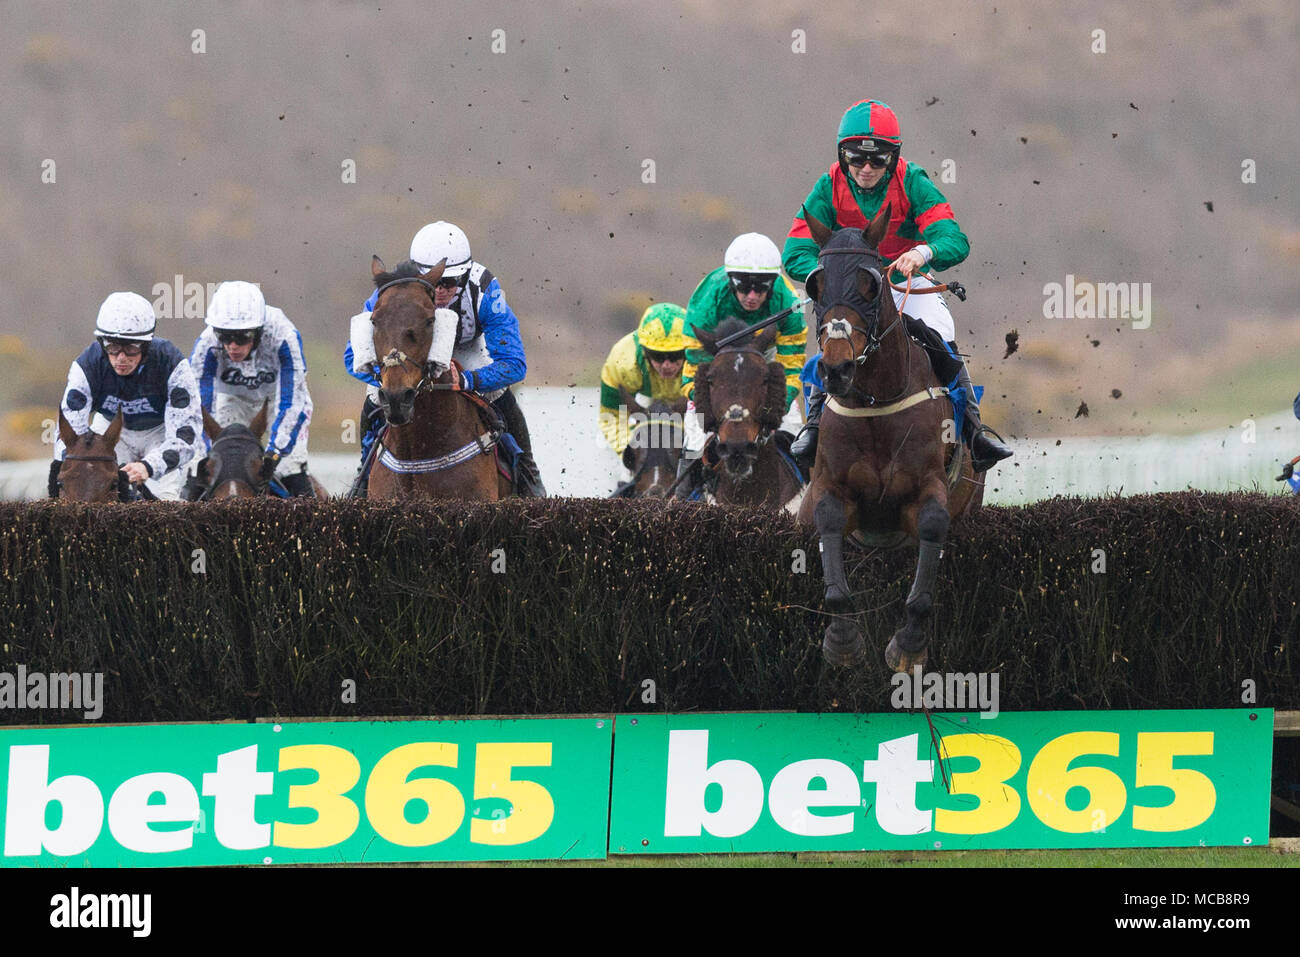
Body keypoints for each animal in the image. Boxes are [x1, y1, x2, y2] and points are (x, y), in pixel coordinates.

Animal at [790, 204, 982, 670]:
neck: (876, 402)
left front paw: (908, 646)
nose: (836, 369)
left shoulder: (927, 486)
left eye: (871, 282)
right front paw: (842, 641)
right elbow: (829, 523)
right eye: (816, 283)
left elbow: (932, 527)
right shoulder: (830, 485)